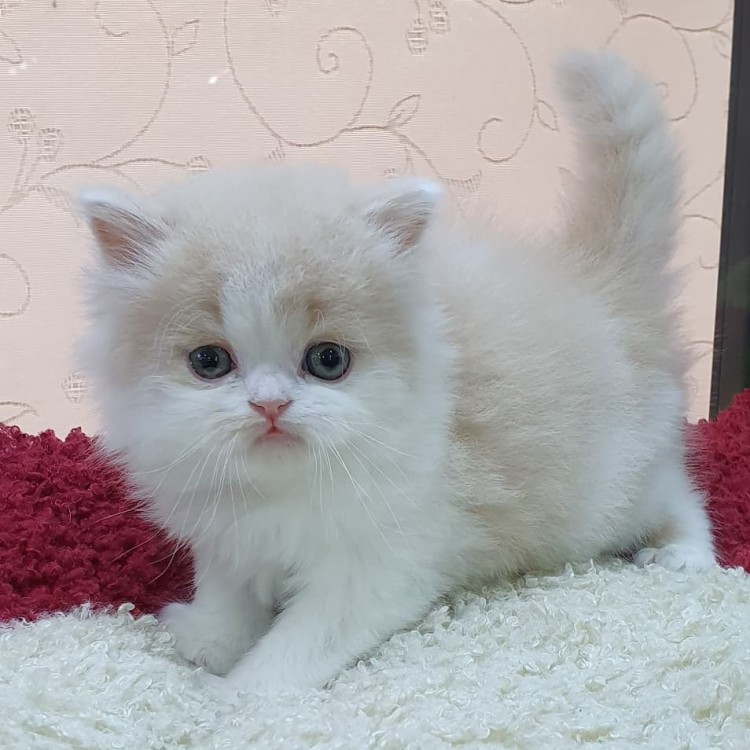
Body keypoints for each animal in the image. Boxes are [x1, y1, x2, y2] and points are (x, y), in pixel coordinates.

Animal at [77, 52, 716, 694]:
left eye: (328, 361)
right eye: (209, 362)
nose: (270, 404)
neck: (281, 491)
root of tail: (599, 276)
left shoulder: (381, 561)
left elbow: (295, 648)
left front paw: (230, 695)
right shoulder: (227, 536)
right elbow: (229, 596)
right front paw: (207, 639)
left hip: (611, 486)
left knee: (678, 492)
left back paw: (685, 554)